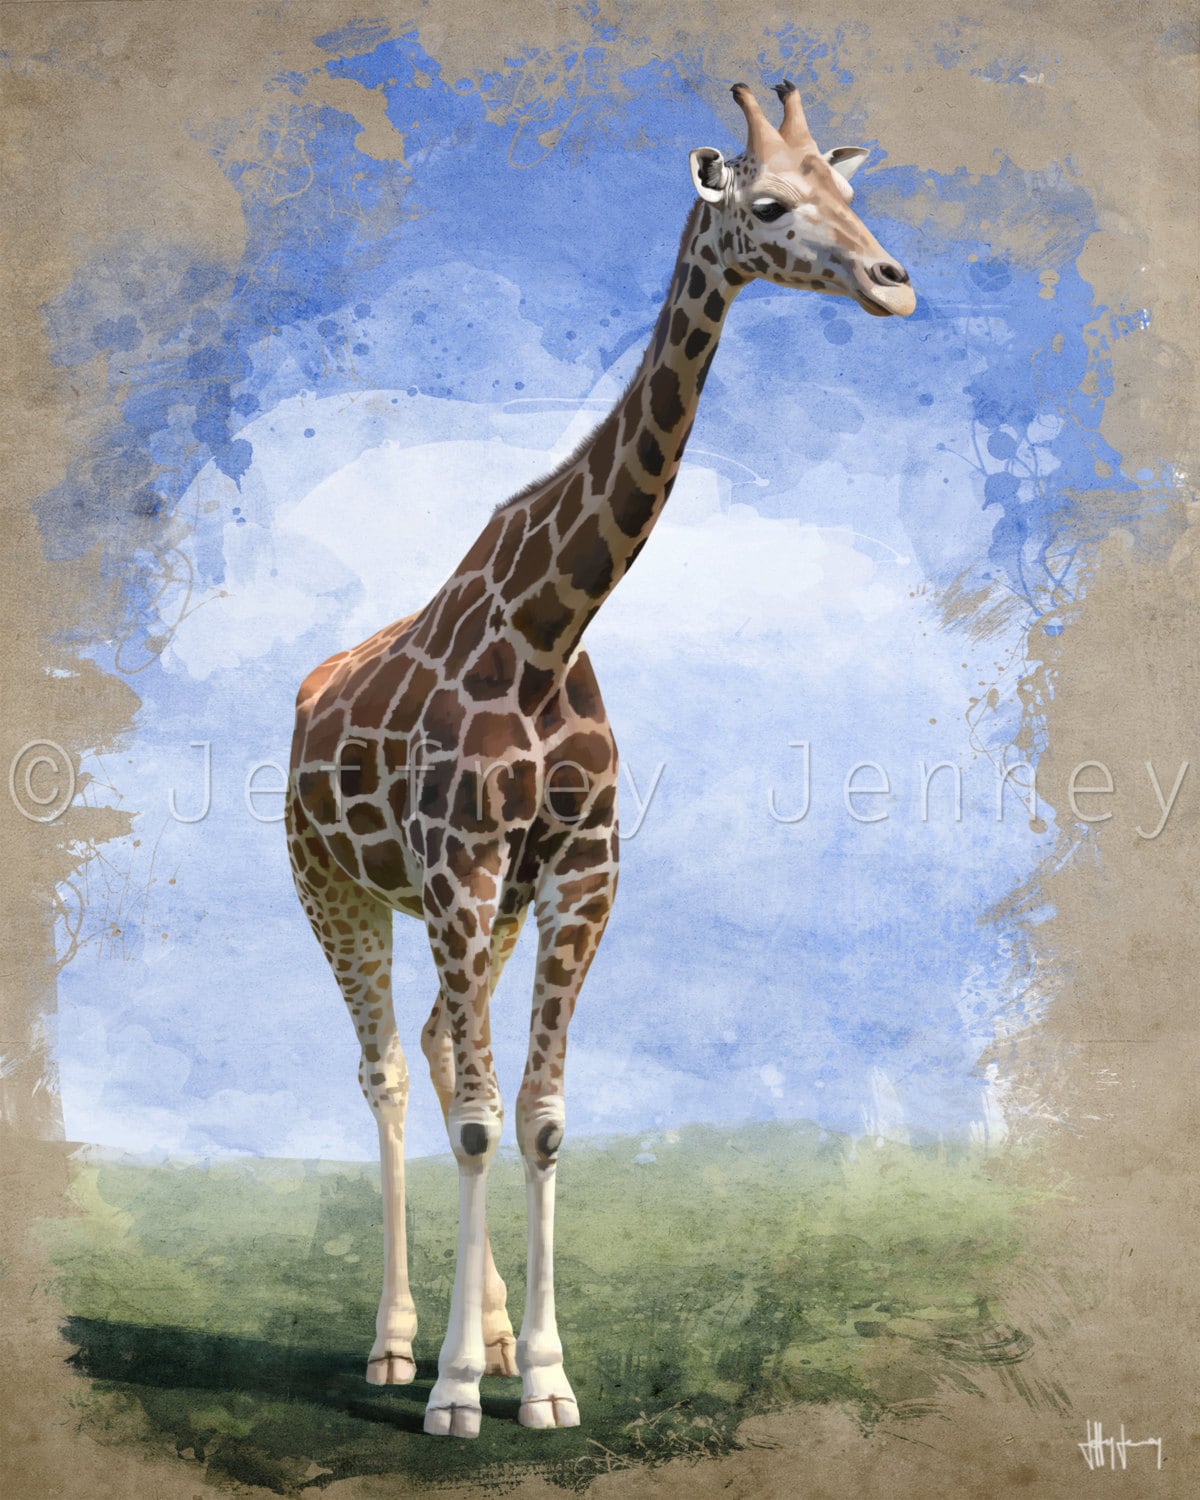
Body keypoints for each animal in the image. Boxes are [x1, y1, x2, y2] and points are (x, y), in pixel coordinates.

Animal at [286, 81, 915, 1439]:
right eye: (768, 205)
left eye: (848, 191)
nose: (894, 283)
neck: (550, 624)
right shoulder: (459, 864)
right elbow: (481, 1124)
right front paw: (458, 1393)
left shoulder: (574, 870)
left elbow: (538, 1119)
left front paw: (541, 1376)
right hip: (337, 886)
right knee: (390, 1075)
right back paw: (398, 1348)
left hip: (480, 905)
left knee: (436, 1050)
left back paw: (483, 1335)